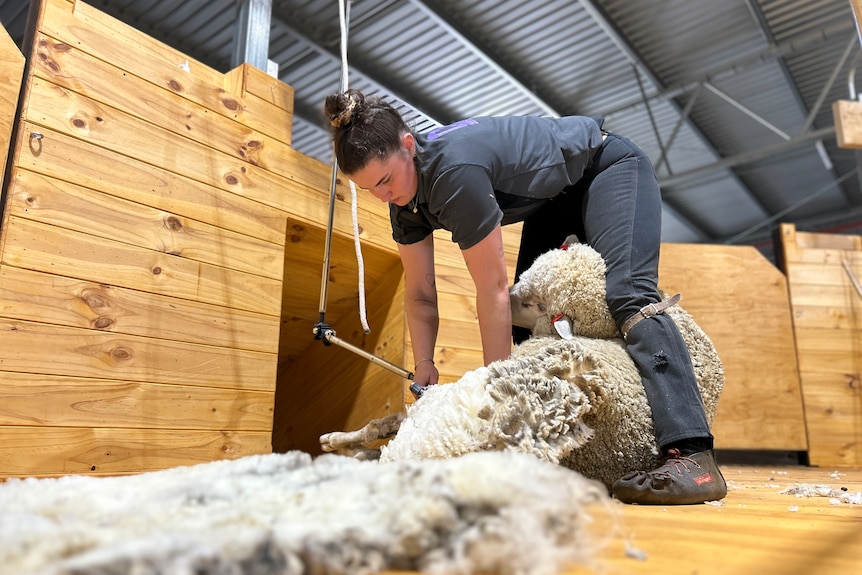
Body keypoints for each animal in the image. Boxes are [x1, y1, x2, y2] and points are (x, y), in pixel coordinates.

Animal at [320, 238, 724, 490]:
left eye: (538, 303)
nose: (505, 296)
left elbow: (383, 423)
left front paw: (339, 441)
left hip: (437, 413)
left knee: (384, 428)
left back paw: (336, 443)